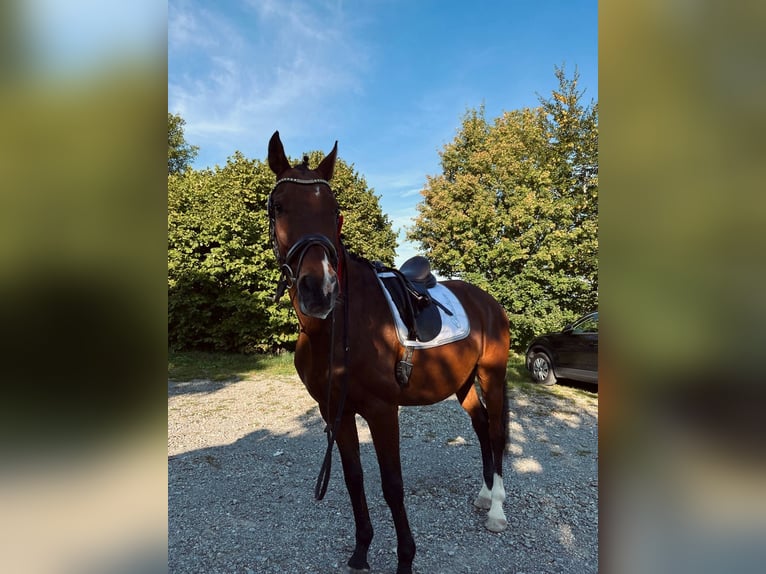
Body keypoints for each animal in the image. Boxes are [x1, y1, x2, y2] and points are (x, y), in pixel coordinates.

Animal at [266, 131, 510, 574]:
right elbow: (353, 479)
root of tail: (487, 301)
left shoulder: (382, 411)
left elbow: (392, 485)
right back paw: (485, 496)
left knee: (498, 433)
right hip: (463, 382)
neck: (339, 330)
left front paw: (405, 559)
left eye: (334, 210)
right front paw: (361, 551)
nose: (318, 290)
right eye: (279, 207)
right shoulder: (336, 411)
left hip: (492, 375)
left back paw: (497, 511)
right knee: (482, 426)